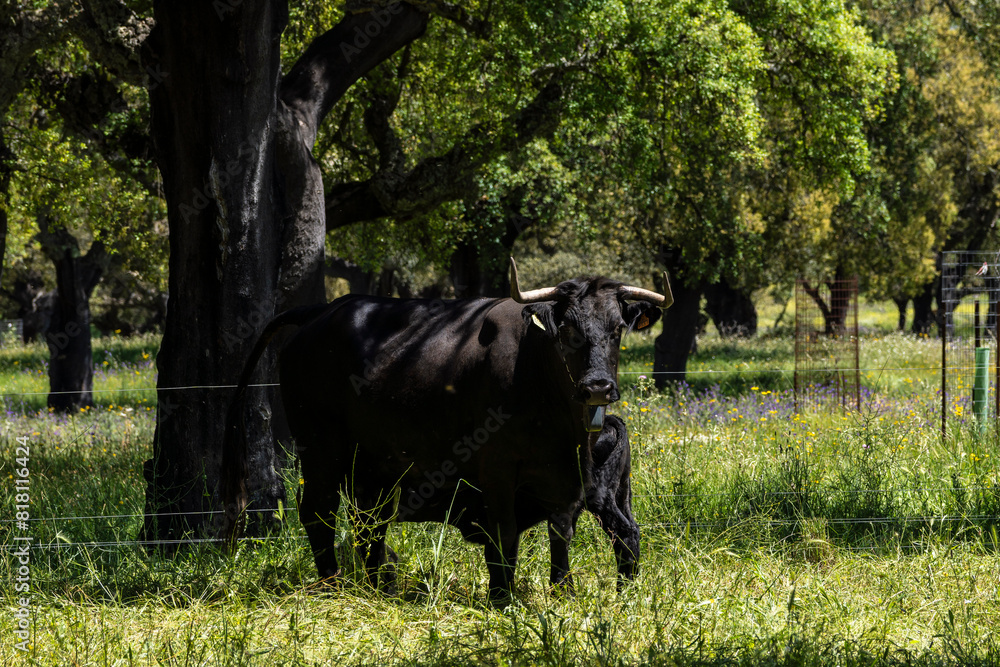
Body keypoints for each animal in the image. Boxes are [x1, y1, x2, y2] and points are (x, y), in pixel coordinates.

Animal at [222, 258, 670, 602]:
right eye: (568, 330)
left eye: (617, 329)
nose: (598, 387)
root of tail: (324, 311)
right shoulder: (497, 472)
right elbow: (504, 536)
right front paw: (501, 599)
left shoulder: (570, 480)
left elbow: (561, 538)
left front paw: (564, 595)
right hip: (320, 449)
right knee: (319, 512)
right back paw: (333, 586)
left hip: (372, 465)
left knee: (369, 524)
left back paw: (379, 590)